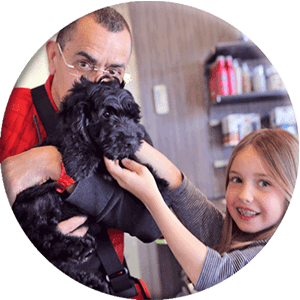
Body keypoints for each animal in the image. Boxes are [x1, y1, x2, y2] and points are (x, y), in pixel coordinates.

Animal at [12, 77, 169, 296]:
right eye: (107, 114)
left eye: (133, 118)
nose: (131, 141)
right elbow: (77, 140)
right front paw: (80, 161)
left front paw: (160, 184)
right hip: (40, 200)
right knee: (43, 235)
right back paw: (80, 248)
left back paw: (95, 281)